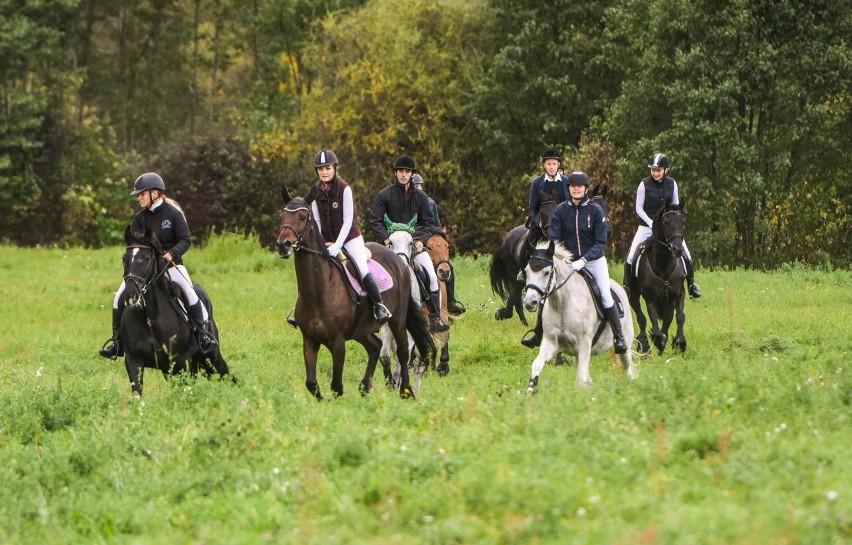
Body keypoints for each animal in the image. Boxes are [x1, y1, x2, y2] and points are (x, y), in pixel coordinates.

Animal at [118, 225, 230, 396]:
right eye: (124, 259)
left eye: (147, 258)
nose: (131, 294)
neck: (150, 317)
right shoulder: (134, 360)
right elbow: (137, 393)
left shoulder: (178, 361)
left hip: (212, 354)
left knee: (225, 372)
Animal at [278, 187, 436, 400]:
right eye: (282, 216)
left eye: (303, 217)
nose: (283, 245)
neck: (318, 292)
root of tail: (400, 262)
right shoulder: (309, 340)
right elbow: (311, 383)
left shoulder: (338, 343)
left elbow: (337, 386)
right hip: (362, 329)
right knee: (375, 347)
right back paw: (365, 386)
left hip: (397, 320)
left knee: (402, 352)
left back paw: (406, 391)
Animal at [524, 239, 636, 392]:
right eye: (526, 271)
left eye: (546, 272)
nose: (530, 302)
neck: (562, 305)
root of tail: (620, 289)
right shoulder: (551, 342)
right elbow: (537, 365)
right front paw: (530, 390)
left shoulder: (584, 344)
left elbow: (581, 379)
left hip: (625, 346)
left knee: (628, 368)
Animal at [628, 200, 688, 352]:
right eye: (666, 222)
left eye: (683, 222)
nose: (678, 249)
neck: (663, 265)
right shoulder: (650, 299)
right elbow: (653, 322)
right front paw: (658, 340)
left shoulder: (679, 294)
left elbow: (680, 316)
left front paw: (679, 342)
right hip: (633, 295)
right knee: (641, 318)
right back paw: (644, 345)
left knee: (667, 320)